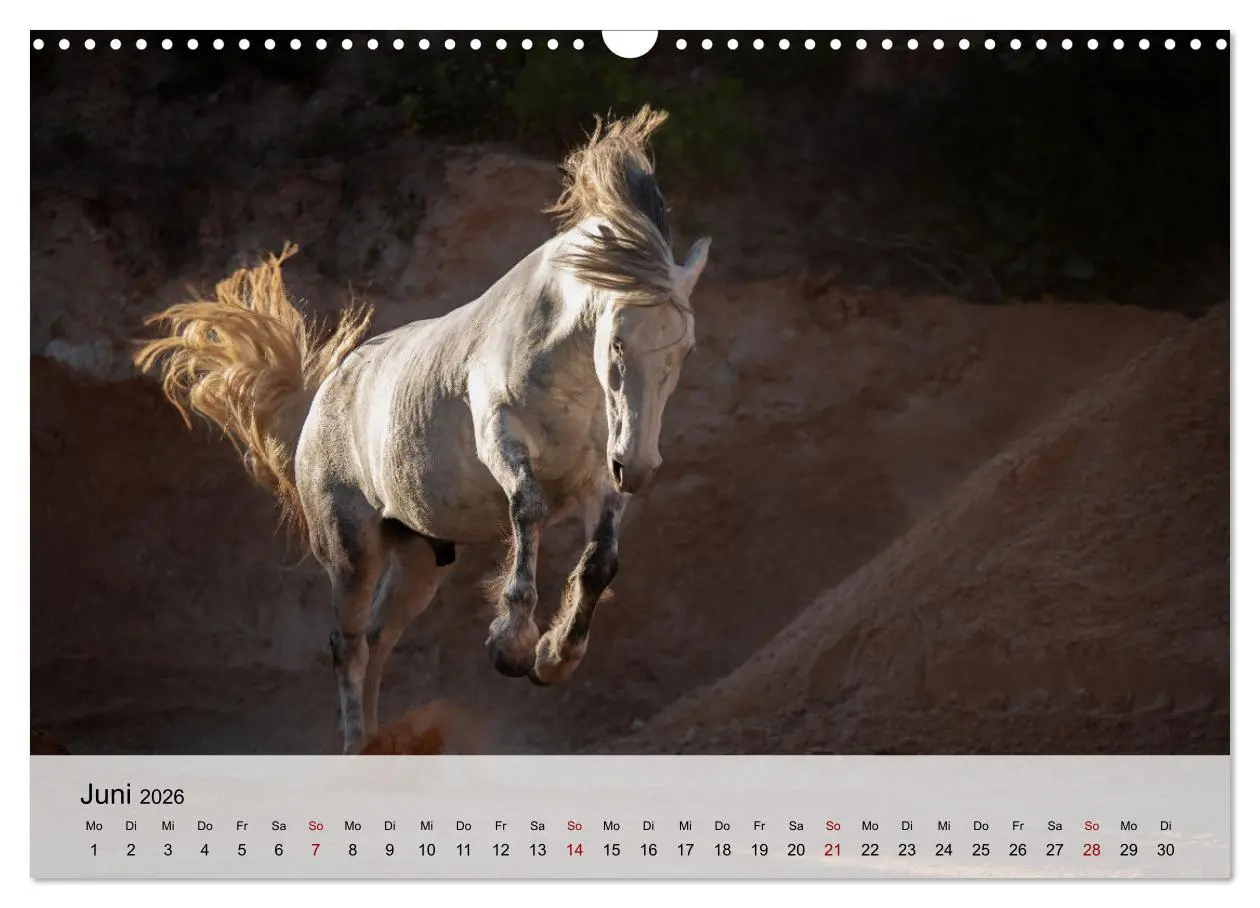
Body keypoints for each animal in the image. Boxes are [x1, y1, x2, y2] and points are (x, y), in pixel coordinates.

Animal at [134, 107, 711, 754]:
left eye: (685, 349)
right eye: (615, 342)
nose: (639, 465)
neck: (567, 377)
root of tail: (322, 397)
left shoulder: (598, 480)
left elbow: (599, 563)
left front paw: (554, 658)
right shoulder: (501, 439)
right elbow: (529, 509)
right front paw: (511, 644)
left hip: (417, 557)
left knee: (379, 637)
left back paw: (379, 743)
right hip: (351, 549)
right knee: (347, 644)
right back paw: (355, 744)